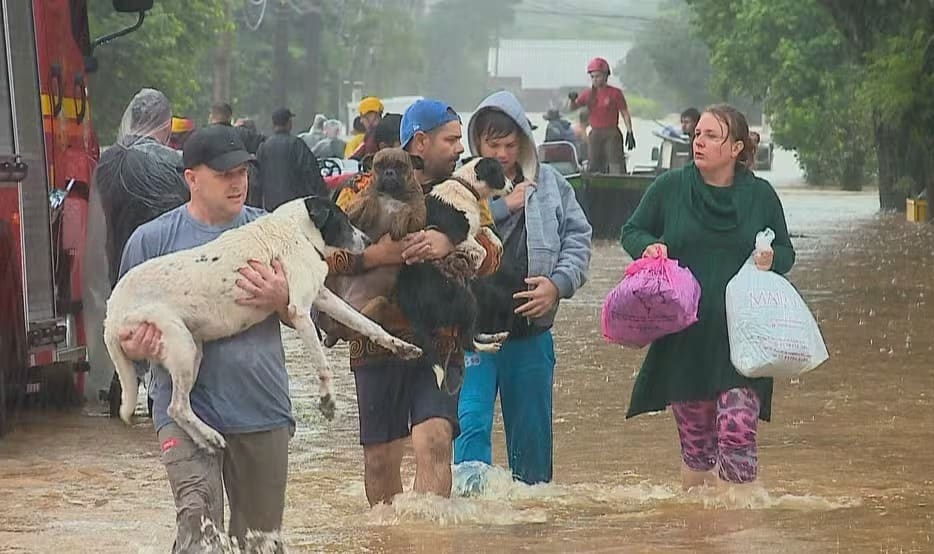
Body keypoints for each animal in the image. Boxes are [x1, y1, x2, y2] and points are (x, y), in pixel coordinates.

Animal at [320, 149, 426, 342]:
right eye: (379, 165)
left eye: (400, 165)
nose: (389, 172)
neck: (391, 195)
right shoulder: (350, 214)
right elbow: (369, 199)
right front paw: (372, 202)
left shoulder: (418, 219)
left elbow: (406, 209)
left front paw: (399, 219)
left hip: (376, 304)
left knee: (357, 328)